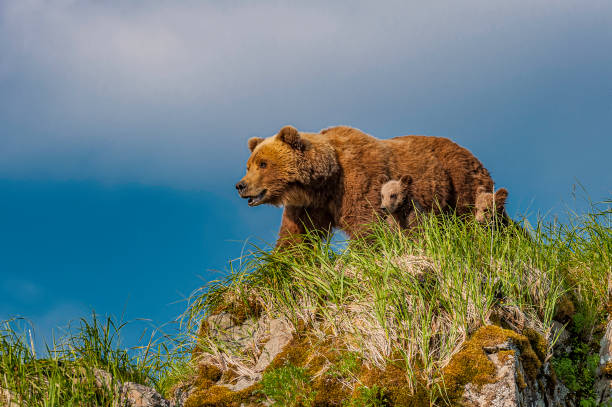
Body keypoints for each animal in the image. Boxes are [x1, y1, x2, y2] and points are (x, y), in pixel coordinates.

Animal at [234, 125, 492, 245]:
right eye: (249, 165)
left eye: (263, 164)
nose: (240, 185)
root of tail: (473, 155)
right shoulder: (309, 205)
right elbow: (295, 236)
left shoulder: (358, 180)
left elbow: (365, 223)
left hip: (458, 179)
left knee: (468, 212)